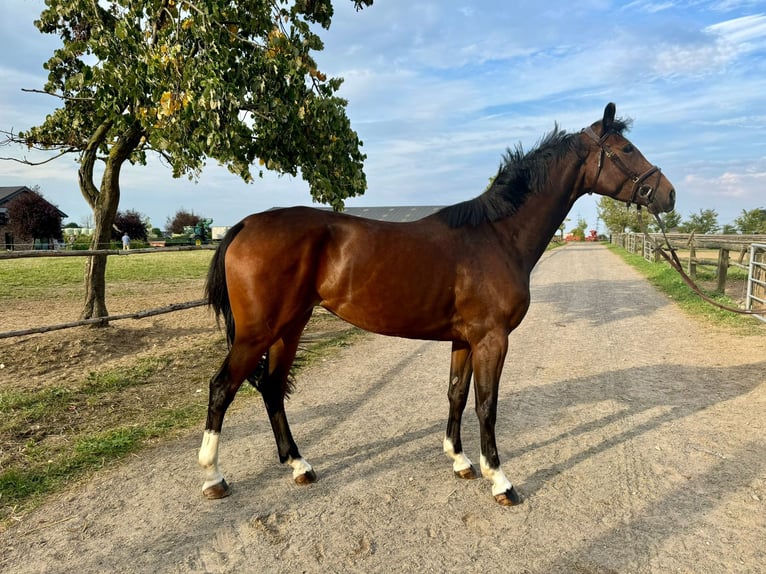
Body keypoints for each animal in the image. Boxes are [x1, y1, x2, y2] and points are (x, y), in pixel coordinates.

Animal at [200, 104, 680, 508]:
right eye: (626, 149)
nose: (668, 195)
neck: (496, 236)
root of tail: (244, 225)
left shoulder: (465, 340)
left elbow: (457, 394)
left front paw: (460, 460)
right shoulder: (492, 340)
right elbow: (487, 404)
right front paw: (499, 479)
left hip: (290, 327)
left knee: (272, 387)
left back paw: (299, 465)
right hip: (258, 332)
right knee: (222, 388)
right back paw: (214, 477)